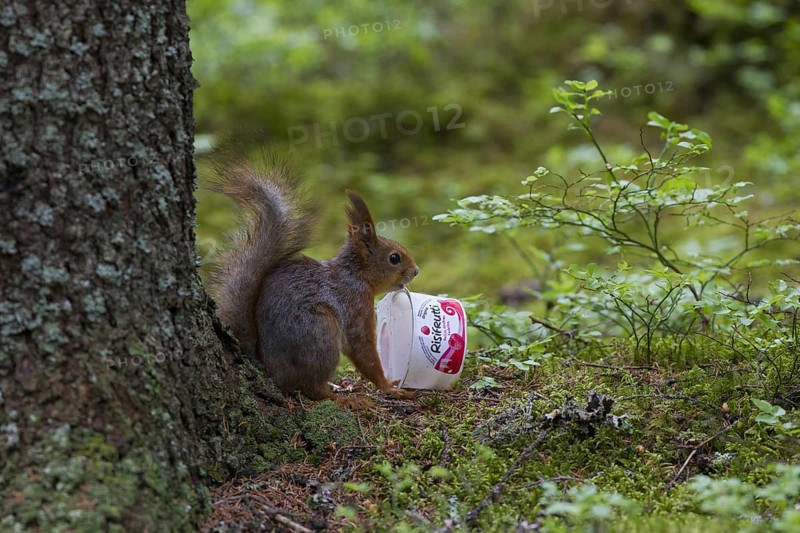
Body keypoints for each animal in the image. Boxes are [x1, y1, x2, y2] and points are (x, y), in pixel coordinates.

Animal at [208, 159, 419, 408]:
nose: (416, 271)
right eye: (394, 258)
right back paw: (346, 399)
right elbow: (362, 349)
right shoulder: (356, 305)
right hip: (321, 333)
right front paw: (389, 387)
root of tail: (269, 369)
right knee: (314, 389)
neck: (355, 275)